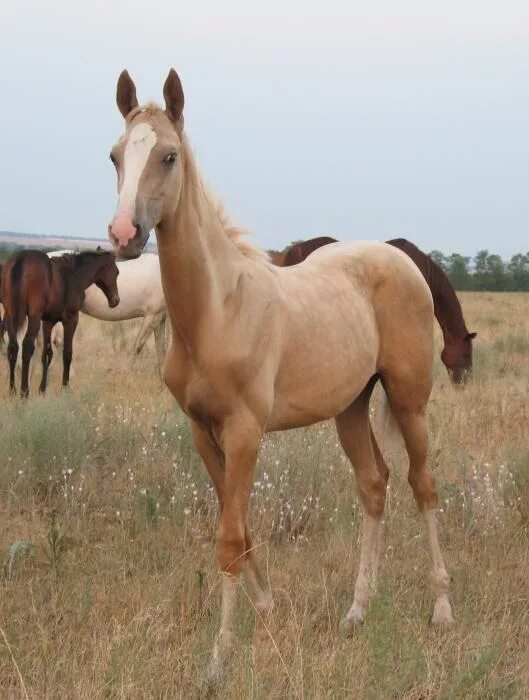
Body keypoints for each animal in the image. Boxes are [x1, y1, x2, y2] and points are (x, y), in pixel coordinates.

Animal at [1, 249, 119, 396]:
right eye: (116, 272)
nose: (115, 300)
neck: (73, 276)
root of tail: (20, 260)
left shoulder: (48, 321)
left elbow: (47, 354)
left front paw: (42, 389)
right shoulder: (71, 319)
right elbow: (67, 353)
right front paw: (65, 387)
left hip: (12, 316)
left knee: (13, 347)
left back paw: (12, 390)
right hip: (33, 317)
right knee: (27, 347)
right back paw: (24, 392)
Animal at [108, 72, 454, 684]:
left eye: (169, 156)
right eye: (116, 155)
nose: (124, 233)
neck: (217, 310)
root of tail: (404, 262)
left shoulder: (246, 432)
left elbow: (228, 538)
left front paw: (219, 658)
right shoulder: (203, 433)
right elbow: (239, 529)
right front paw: (266, 608)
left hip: (410, 402)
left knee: (423, 485)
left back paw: (440, 608)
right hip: (350, 407)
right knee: (374, 484)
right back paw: (357, 611)